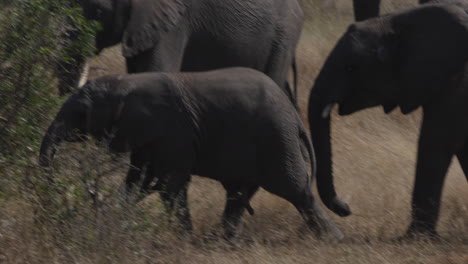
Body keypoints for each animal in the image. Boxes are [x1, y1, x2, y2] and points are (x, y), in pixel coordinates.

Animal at [38, 67, 342, 239]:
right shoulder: (147, 135)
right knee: (239, 193)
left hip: (276, 139)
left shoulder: (173, 130)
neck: (124, 83)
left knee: (295, 190)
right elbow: (137, 180)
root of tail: (295, 116)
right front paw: (115, 222)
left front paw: (184, 238)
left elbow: (170, 185)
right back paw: (222, 240)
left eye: (81, 113)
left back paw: (330, 239)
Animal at [308, 1, 468, 237]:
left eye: (351, 67)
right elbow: (461, 146)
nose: (346, 208)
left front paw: (414, 238)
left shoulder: (459, 80)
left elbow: (436, 140)